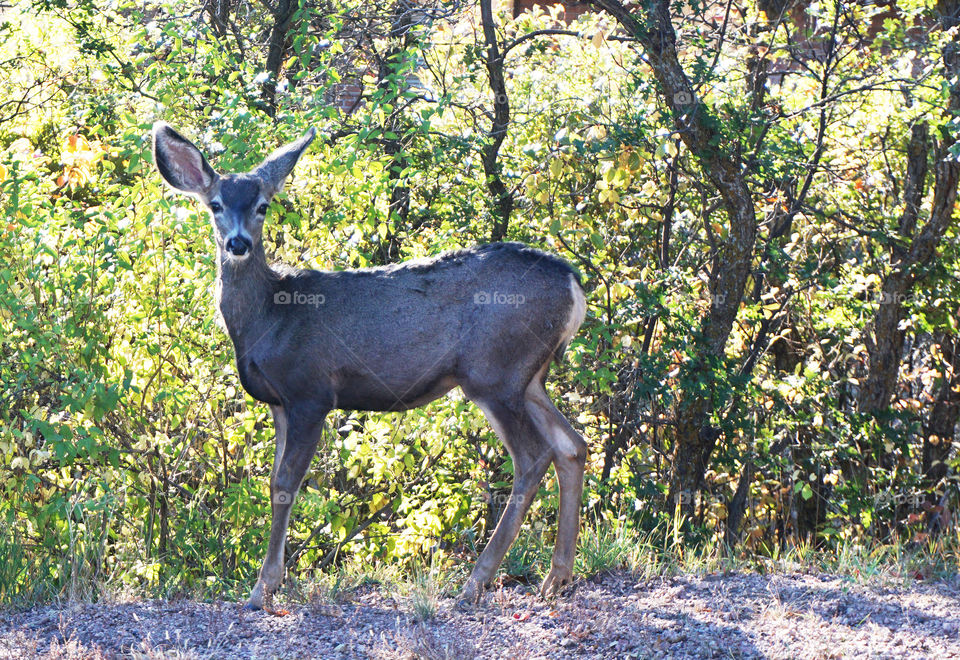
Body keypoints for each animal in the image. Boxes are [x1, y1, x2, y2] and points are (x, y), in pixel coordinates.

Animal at [151, 122, 588, 608]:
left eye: (263, 205)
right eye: (216, 205)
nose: (238, 243)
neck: (270, 316)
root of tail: (574, 284)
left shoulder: (311, 391)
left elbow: (285, 485)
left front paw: (263, 588)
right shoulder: (279, 402)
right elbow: (272, 483)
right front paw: (272, 580)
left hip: (495, 371)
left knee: (534, 456)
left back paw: (477, 580)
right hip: (529, 377)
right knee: (573, 446)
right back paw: (557, 577)